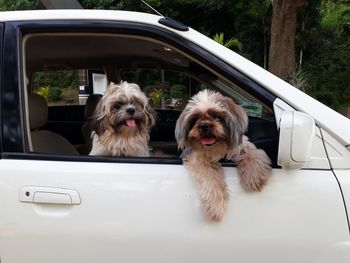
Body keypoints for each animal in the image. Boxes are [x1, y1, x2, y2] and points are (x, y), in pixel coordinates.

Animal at [175, 91, 270, 223]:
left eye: (217, 117)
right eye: (195, 119)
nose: (204, 125)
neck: (216, 149)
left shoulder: (241, 148)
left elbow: (253, 154)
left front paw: (253, 177)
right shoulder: (198, 159)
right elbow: (210, 176)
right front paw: (215, 205)